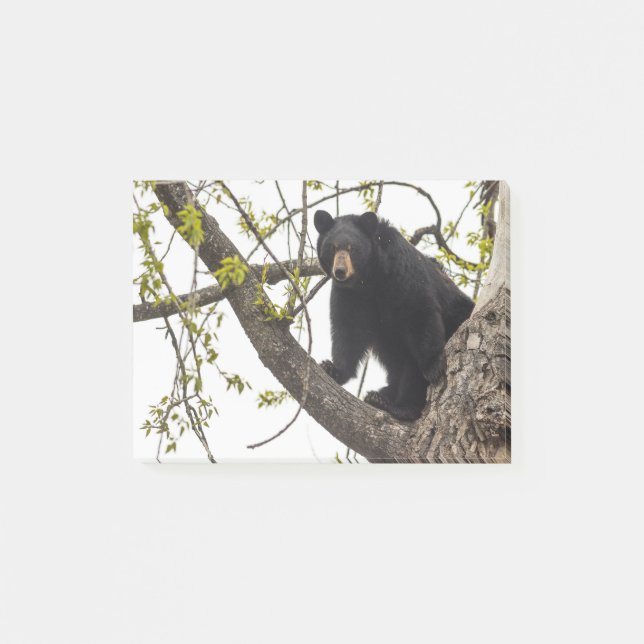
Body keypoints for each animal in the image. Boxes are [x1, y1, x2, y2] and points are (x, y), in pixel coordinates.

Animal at [314, 209, 475, 421]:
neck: (369, 280)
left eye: (352, 248)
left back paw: (398, 406)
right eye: (332, 248)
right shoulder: (349, 296)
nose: (340, 271)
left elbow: (419, 312)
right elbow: (348, 330)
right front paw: (333, 368)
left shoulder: (402, 273)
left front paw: (433, 366)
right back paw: (380, 396)